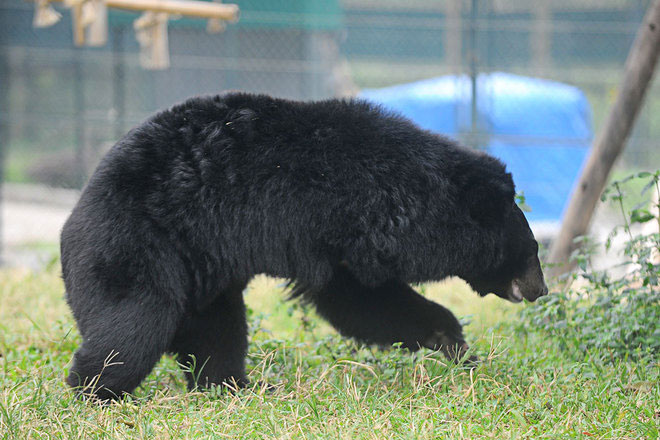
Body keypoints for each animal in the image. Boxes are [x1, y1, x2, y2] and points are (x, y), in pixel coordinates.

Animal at [60, 93, 548, 400]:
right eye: (531, 252)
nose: (540, 289)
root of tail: (77, 211)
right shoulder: (333, 215)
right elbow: (359, 299)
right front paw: (456, 344)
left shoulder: (344, 242)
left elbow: (366, 301)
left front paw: (454, 344)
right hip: (137, 243)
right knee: (136, 322)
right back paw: (95, 390)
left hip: (202, 271)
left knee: (215, 330)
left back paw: (234, 386)